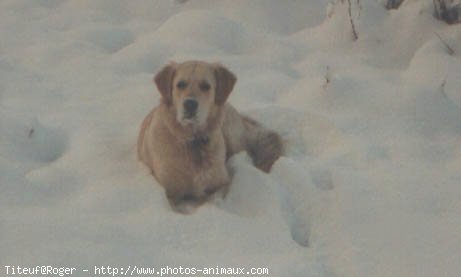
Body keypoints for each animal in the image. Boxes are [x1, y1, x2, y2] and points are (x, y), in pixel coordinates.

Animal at [137, 60, 282, 211]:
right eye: (180, 84)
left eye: (206, 86)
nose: (190, 104)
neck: (193, 141)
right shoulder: (168, 192)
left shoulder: (221, 183)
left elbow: (213, 199)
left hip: (233, 137)